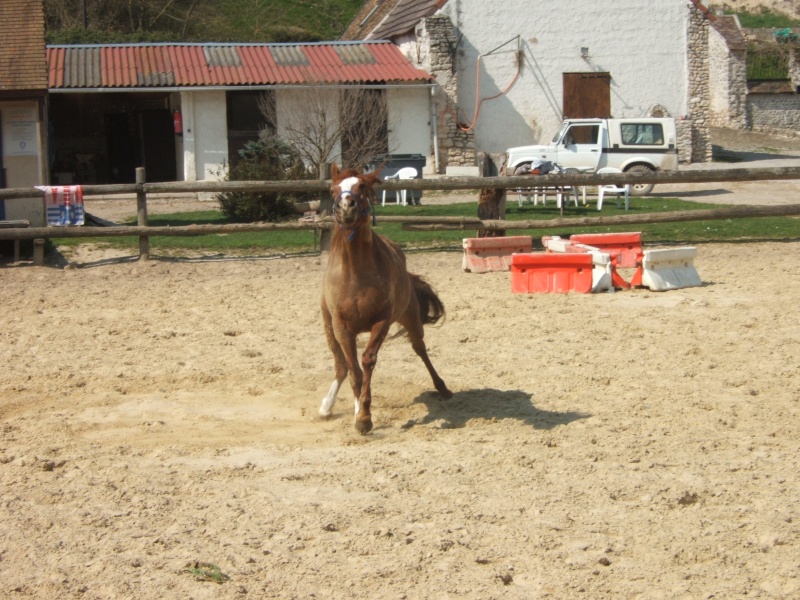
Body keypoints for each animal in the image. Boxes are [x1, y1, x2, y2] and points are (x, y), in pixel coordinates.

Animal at [320, 164, 456, 434]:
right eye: (332, 190)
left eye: (362, 186)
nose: (346, 207)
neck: (355, 275)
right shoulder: (340, 326)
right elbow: (353, 370)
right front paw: (359, 415)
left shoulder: (381, 322)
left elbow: (367, 361)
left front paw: (364, 417)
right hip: (329, 327)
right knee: (341, 366)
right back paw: (327, 407)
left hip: (411, 319)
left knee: (420, 349)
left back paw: (443, 389)